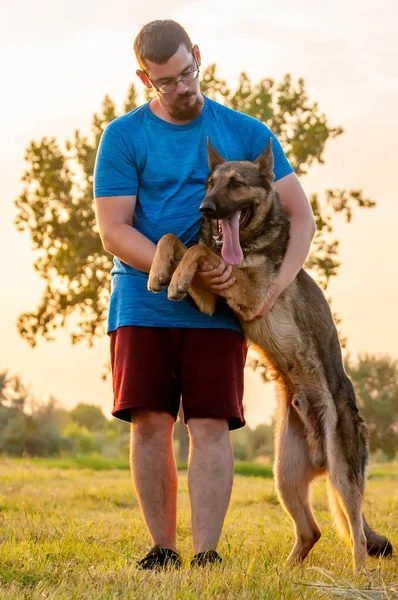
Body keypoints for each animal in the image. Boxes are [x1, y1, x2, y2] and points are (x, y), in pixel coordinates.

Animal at [147, 138, 392, 568]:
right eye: (208, 183)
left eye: (234, 184)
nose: (204, 209)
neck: (249, 242)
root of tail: (320, 456)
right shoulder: (210, 297)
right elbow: (175, 240)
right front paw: (163, 272)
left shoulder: (248, 292)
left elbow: (199, 252)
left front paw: (176, 276)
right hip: (285, 478)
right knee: (312, 530)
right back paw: (286, 571)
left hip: (343, 477)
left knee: (359, 537)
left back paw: (359, 576)